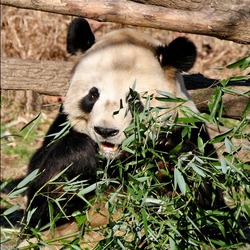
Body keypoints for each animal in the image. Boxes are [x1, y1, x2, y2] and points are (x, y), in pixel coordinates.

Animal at [22, 17, 224, 232]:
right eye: (93, 95)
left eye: (133, 100)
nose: (105, 131)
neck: (114, 161)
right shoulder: (62, 126)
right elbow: (41, 203)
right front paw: (79, 156)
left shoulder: (190, 129)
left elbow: (209, 211)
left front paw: (168, 153)